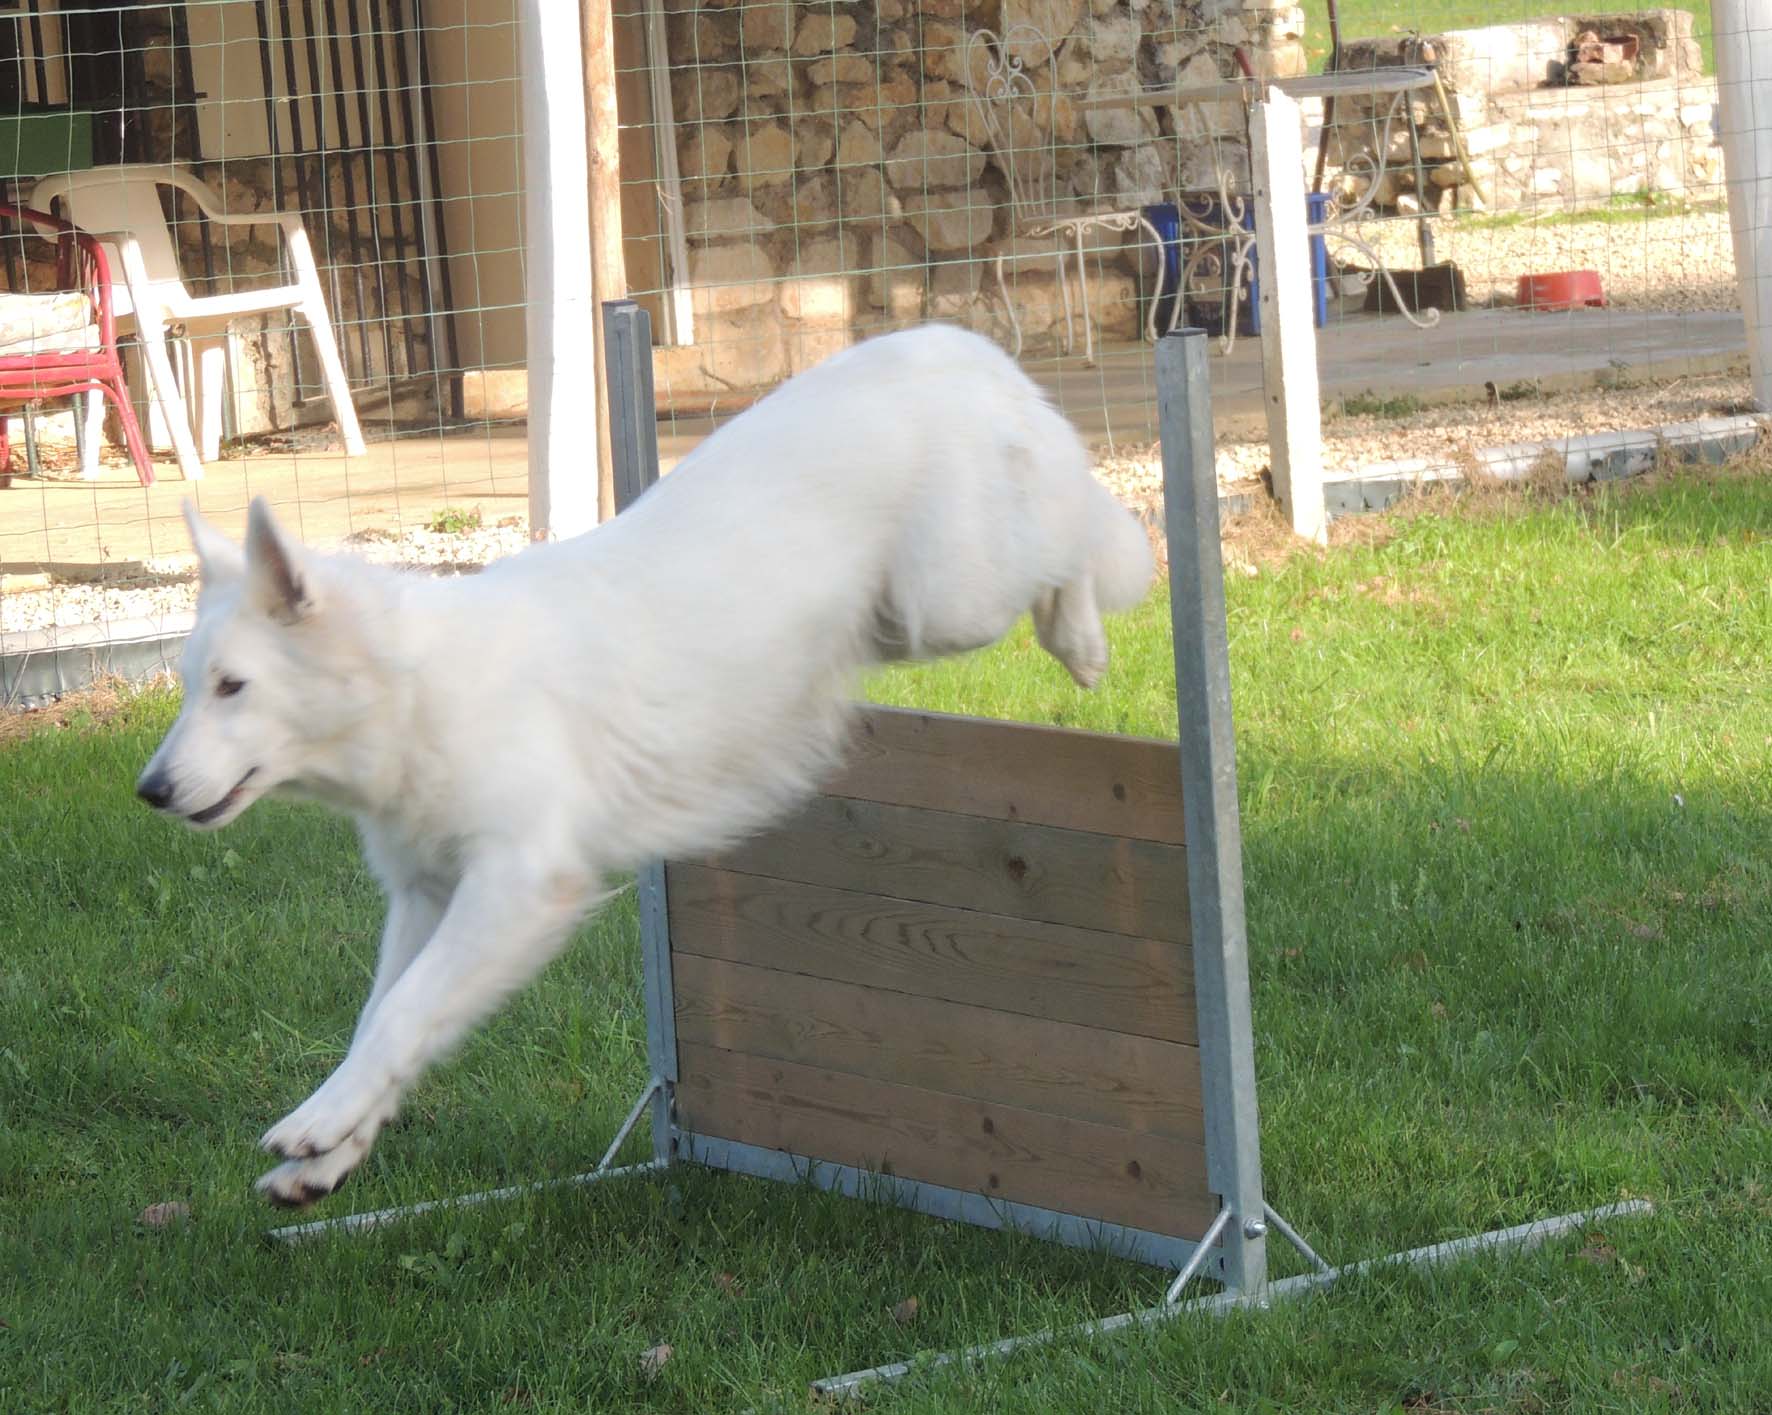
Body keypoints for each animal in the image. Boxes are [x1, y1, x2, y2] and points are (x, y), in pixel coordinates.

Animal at [141, 324, 1162, 1204]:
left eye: (233, 687)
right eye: (191, 686)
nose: (149, 791)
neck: (417, 692)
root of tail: (951, 341)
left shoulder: (519, 885)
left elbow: (402, 1012)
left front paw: (318, 1126)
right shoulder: (428, 896)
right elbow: (384, 1020)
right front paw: (330, 1148)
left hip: (946, 600)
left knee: (1084, 527)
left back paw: (1082, 638)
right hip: (906, 618)